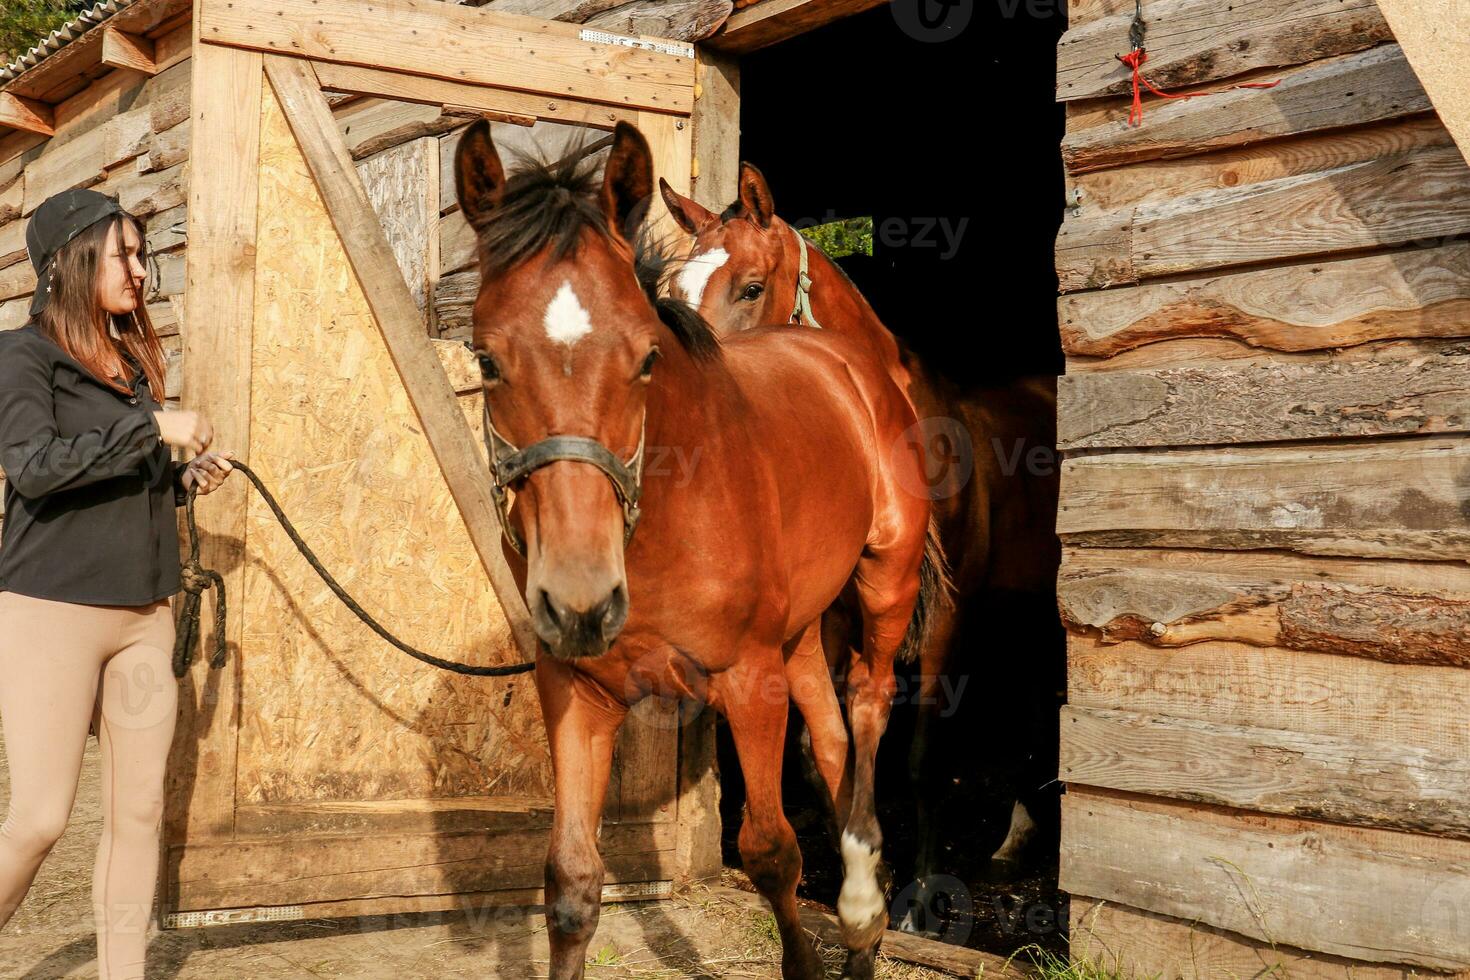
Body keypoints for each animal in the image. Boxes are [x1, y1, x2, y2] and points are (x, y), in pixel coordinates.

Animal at [452, 116, 946, 980]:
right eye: (486, 360)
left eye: (646, 356)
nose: (581, 602)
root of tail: (856, 367)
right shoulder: (575, 687)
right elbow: (571, 882)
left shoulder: (748, 680)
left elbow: (770, 851)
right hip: (800, 631)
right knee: (831, 734)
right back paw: (866, 929)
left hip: (884, 580)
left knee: (869, 697)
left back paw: (859, 907)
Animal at [661, 163, 1064, 934]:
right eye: (675, 291)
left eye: (751, 288)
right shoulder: (830, 617)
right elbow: (823, 749)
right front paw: (855, 872)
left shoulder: (941, 619)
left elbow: (923, 756)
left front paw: (921, 896)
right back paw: (1017, 836)